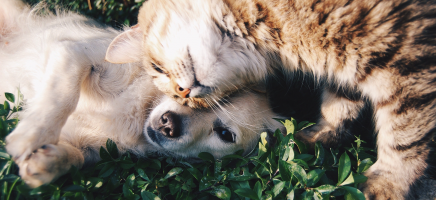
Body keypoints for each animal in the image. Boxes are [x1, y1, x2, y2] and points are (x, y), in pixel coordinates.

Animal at [0, 0, 284, 188]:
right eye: (185, 94)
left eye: (225, 134)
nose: (169, 124)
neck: (139, 114)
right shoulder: (74, 53)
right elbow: (62, 96)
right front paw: (30, 135)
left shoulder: (93, 148)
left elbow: (77, 158)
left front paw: (46, 163)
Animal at [104, 0, 436, 199]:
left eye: (158, 69)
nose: (183, 94)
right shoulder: (348, 67)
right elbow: (339, 105)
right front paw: (318, 138)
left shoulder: (407, 63)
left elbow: (404, 137)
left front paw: (387, 184)